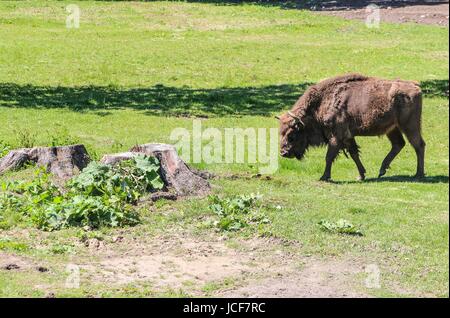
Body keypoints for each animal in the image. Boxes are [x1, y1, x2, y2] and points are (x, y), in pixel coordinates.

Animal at [278, 73, 426, 180]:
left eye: (292, 135)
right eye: (281, 133)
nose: (284, 153)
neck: (322, 102)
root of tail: (415, 86)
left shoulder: (336, 137)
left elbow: (329, 156)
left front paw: (324, 177)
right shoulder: (348, 137)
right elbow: (354, 153)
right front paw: (361, 175)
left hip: (409, 126)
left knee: (418, 145)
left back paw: (418, 174)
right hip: (392, 129)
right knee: (398, 144)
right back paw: (382, 170)